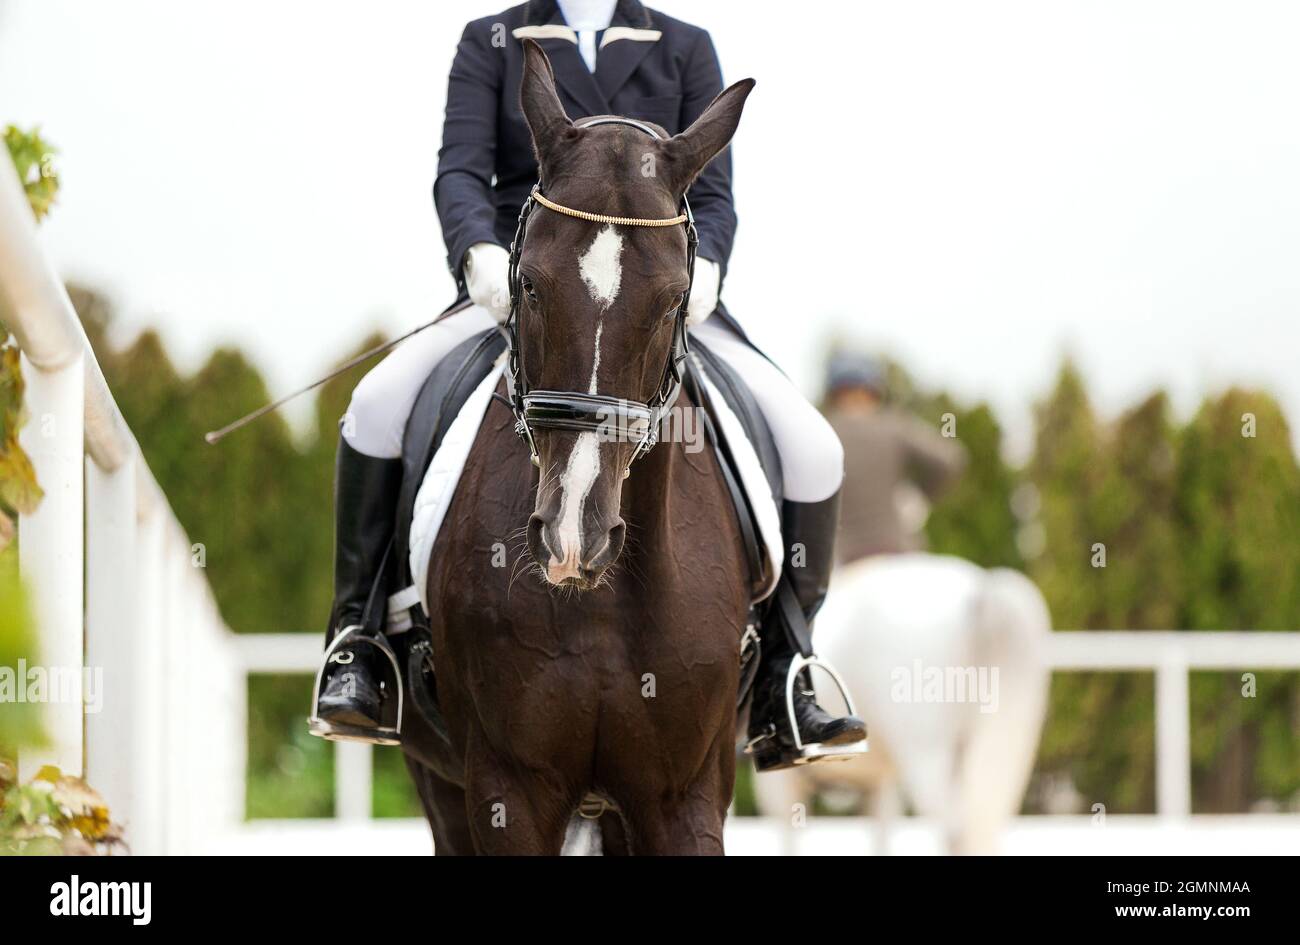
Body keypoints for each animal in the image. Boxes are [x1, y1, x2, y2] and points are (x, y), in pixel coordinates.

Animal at [759, 553, 1050, 857]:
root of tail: (982, 591)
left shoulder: (780, 784)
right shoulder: (880, 782)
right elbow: (881, 834)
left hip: (929, 756)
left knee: (955, 829)